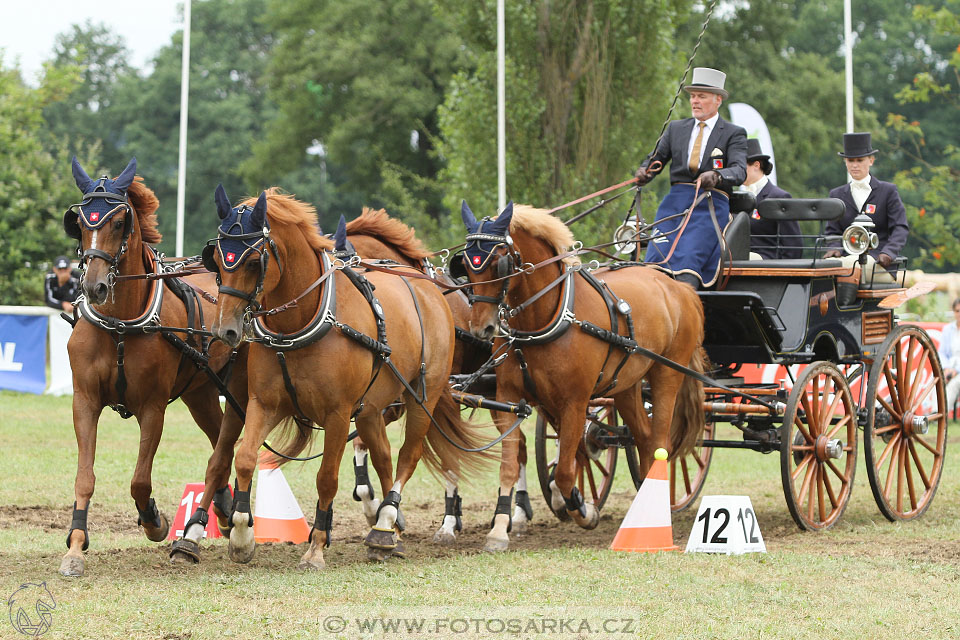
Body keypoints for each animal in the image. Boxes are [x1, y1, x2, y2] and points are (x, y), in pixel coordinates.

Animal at [60, 159, 246, 576]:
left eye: (119, 222)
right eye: (78, 221)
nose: (94, 286)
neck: (120, 325)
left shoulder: (153, 408)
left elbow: (139, 481)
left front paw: (155, 521)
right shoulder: (84, 401)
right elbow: (84, 477)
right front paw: (76, 546)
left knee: (227, 444)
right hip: (200, 392)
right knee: (218, 442)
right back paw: (223, 510)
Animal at [206, 188, 476, 568]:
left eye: (253, 262)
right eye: (216, 258)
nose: (225, 330)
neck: (301, 324)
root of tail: (431, 290)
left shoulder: (337, 414)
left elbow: (326, 479)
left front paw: (316, 547)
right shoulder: (265, 404)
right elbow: (244, 457)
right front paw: (242, 536)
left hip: (423, 396)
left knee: (408, 455)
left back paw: (386, 522)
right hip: (371, 409)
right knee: (383, 456)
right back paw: (388, 531)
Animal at [458, 201, 704, 552]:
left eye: (498, 263)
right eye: (466, 263)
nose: (483, 328)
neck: (547, 318)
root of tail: (679, 287)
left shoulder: (574, 403)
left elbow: (564, 470)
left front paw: (582, 509)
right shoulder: (508, 399)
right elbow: (512, 463)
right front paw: (500, 528)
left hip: (667, 375)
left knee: (661, 442)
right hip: (625, 387)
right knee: (643, 440)